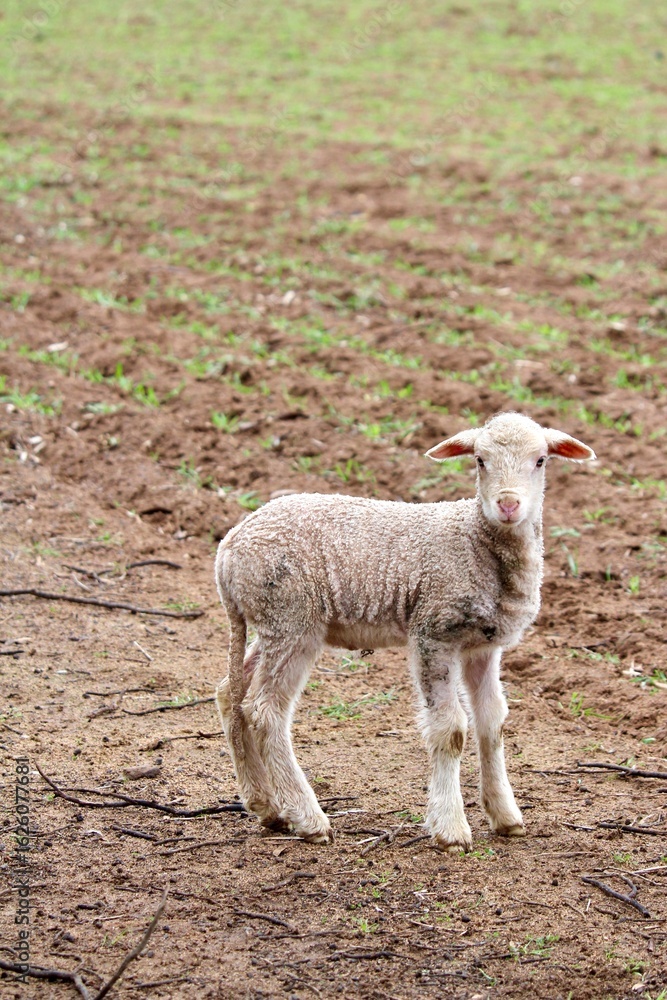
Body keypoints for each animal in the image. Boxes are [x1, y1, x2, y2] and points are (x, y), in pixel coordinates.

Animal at [215, 412, 595, 851]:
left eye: (541, 460)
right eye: (480, 460)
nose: (508, 504)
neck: (475, 541)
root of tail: (228, 547)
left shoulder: (483, 645)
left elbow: (492, 723)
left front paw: (505, 815)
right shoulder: (433, 631)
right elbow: (451, 730)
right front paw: (450, 828)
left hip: (273, 623)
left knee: (230, 694)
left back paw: (265, 804)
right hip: (292, 619)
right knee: (264, 711)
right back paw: (308, 817)